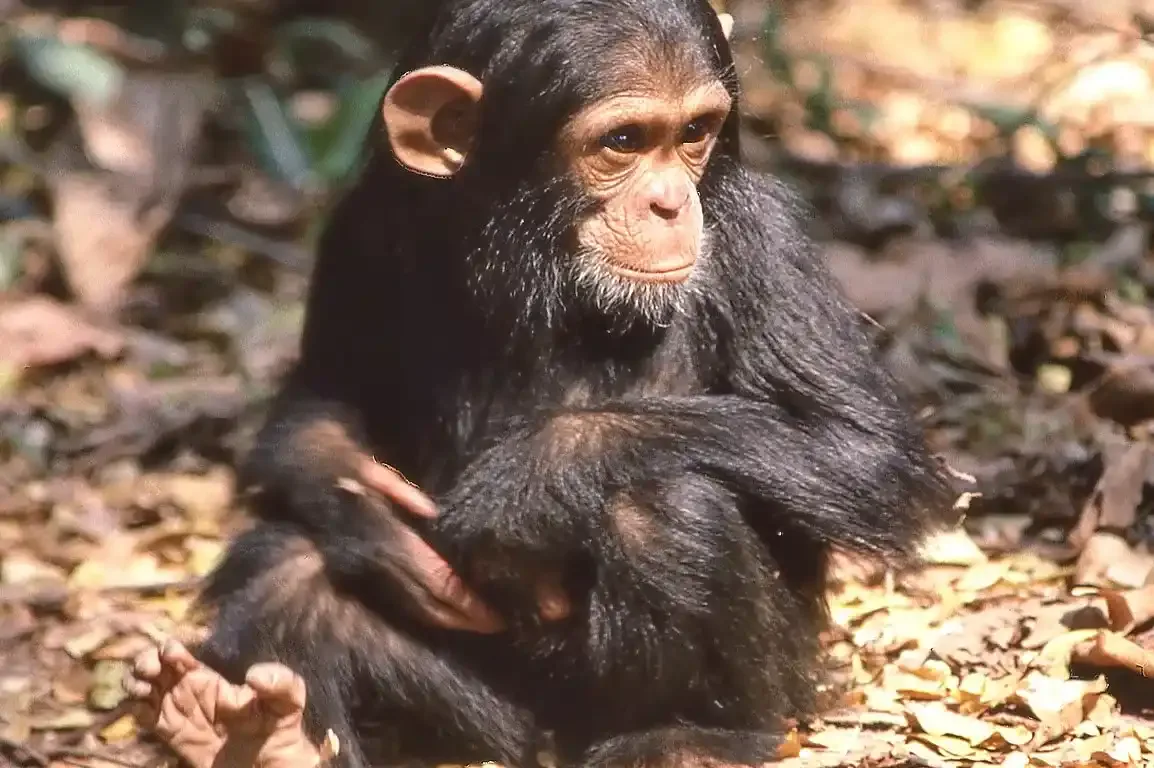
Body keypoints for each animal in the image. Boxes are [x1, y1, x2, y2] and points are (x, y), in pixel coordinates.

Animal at [129, 2, 956, 767]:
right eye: (624, 142)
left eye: (695, 132)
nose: (669, 203)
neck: (532, 252)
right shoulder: (362, 224)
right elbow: (317, 398)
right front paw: (366, 507)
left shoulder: (763, 237)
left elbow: (861, 449)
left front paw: (527, 477)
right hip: (493, 713)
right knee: (287, 563)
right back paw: (253, 733)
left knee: (662, 511)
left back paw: (690, 736)